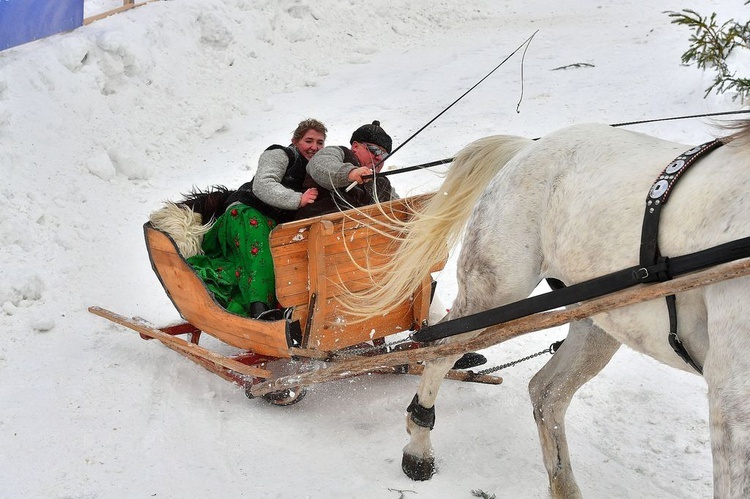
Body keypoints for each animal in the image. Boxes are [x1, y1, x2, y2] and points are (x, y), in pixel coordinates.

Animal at [350, 122, 750, 499]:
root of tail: (529, 146)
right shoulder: (731, 394)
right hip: (494, 289)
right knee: (441, 349)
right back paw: (418, 447)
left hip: (601, 317)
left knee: (546, 392)